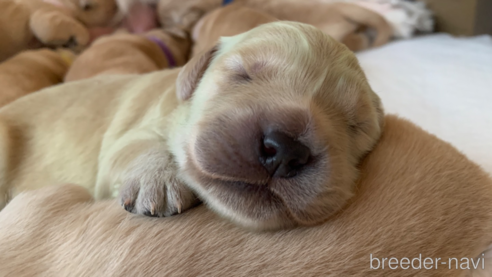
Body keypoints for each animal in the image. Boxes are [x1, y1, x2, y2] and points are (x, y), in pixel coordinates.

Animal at [0, 21, 382, 230]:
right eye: (243, 74)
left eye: (355, 125)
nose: (285, 150)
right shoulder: (130, 134)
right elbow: (139, 146)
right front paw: (159, 178)